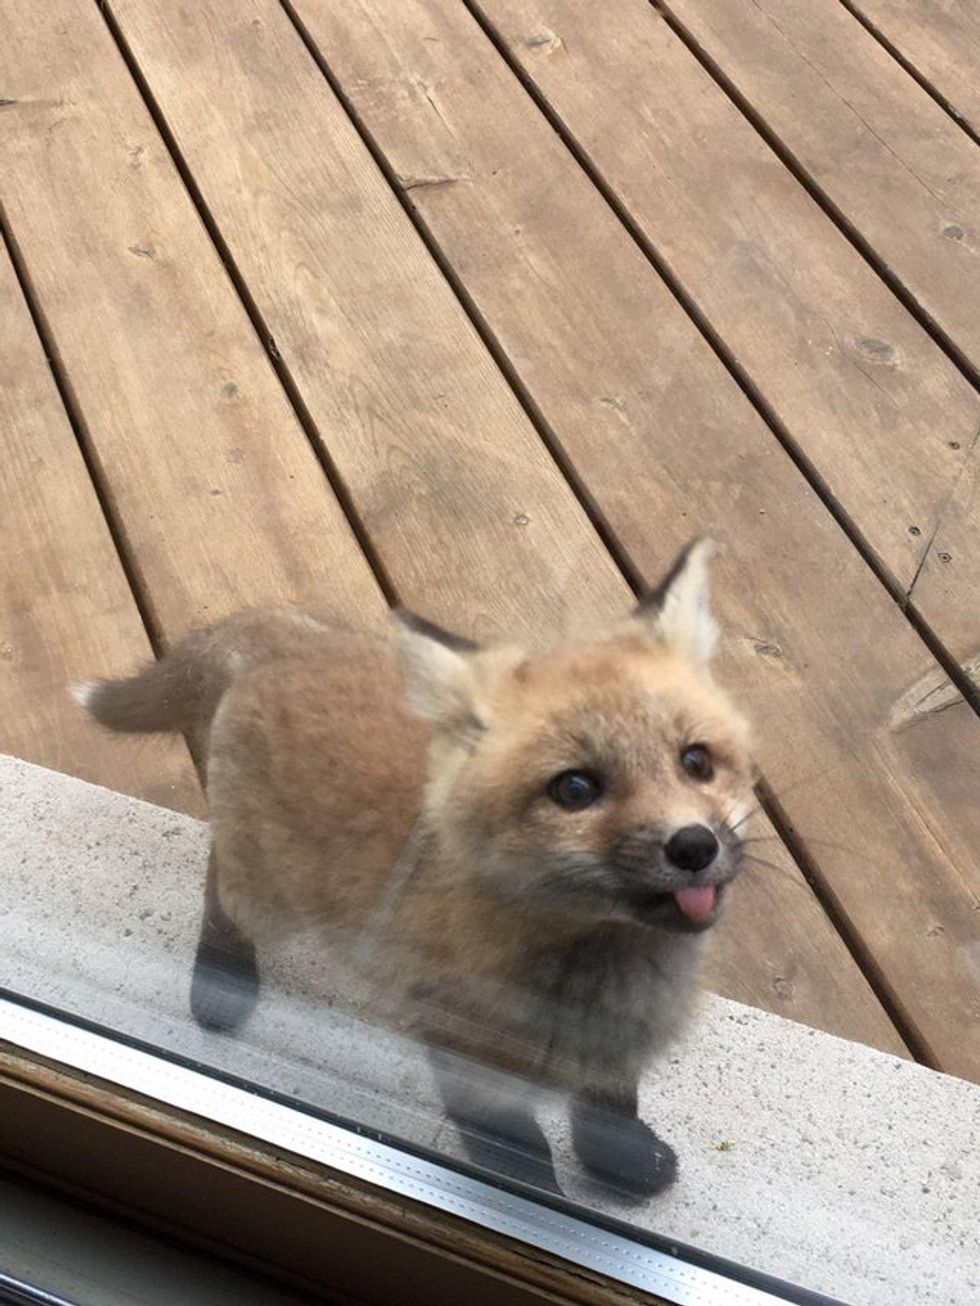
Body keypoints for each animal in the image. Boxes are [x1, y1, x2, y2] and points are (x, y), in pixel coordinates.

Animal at [78, 538, 752, 1196]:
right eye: (576, 789)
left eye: (696, 761)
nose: (694, 847)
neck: (599, 974)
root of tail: (288, 639)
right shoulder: (466, 1055)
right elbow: (521, 1161)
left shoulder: (617, 1046)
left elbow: (609, 1107)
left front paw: (621, 1160)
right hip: (269, 898)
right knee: (221, 887)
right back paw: (222, 980)